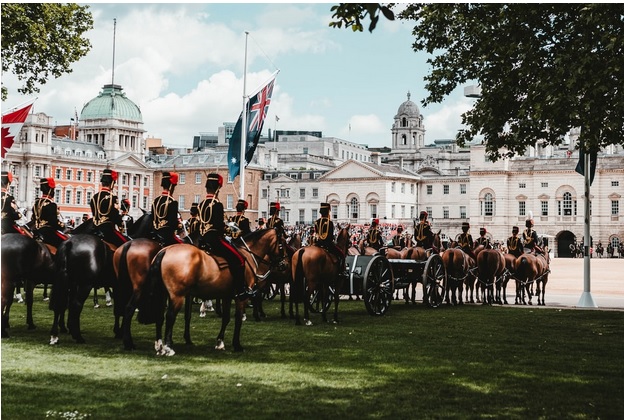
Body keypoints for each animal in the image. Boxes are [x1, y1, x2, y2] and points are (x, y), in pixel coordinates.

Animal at [138, 226, 286, 354]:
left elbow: (226, 318)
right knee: (170, 316)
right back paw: (168, 347)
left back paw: (159, 345)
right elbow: (238, 319)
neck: (248, 255)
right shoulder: (241, 297)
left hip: (163, 294)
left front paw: (220, 342)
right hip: (177, 295)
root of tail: (165, 250)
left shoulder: (227, 296)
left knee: (159, 315)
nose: (283, 265)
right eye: (282, 244)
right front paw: (237, 345)